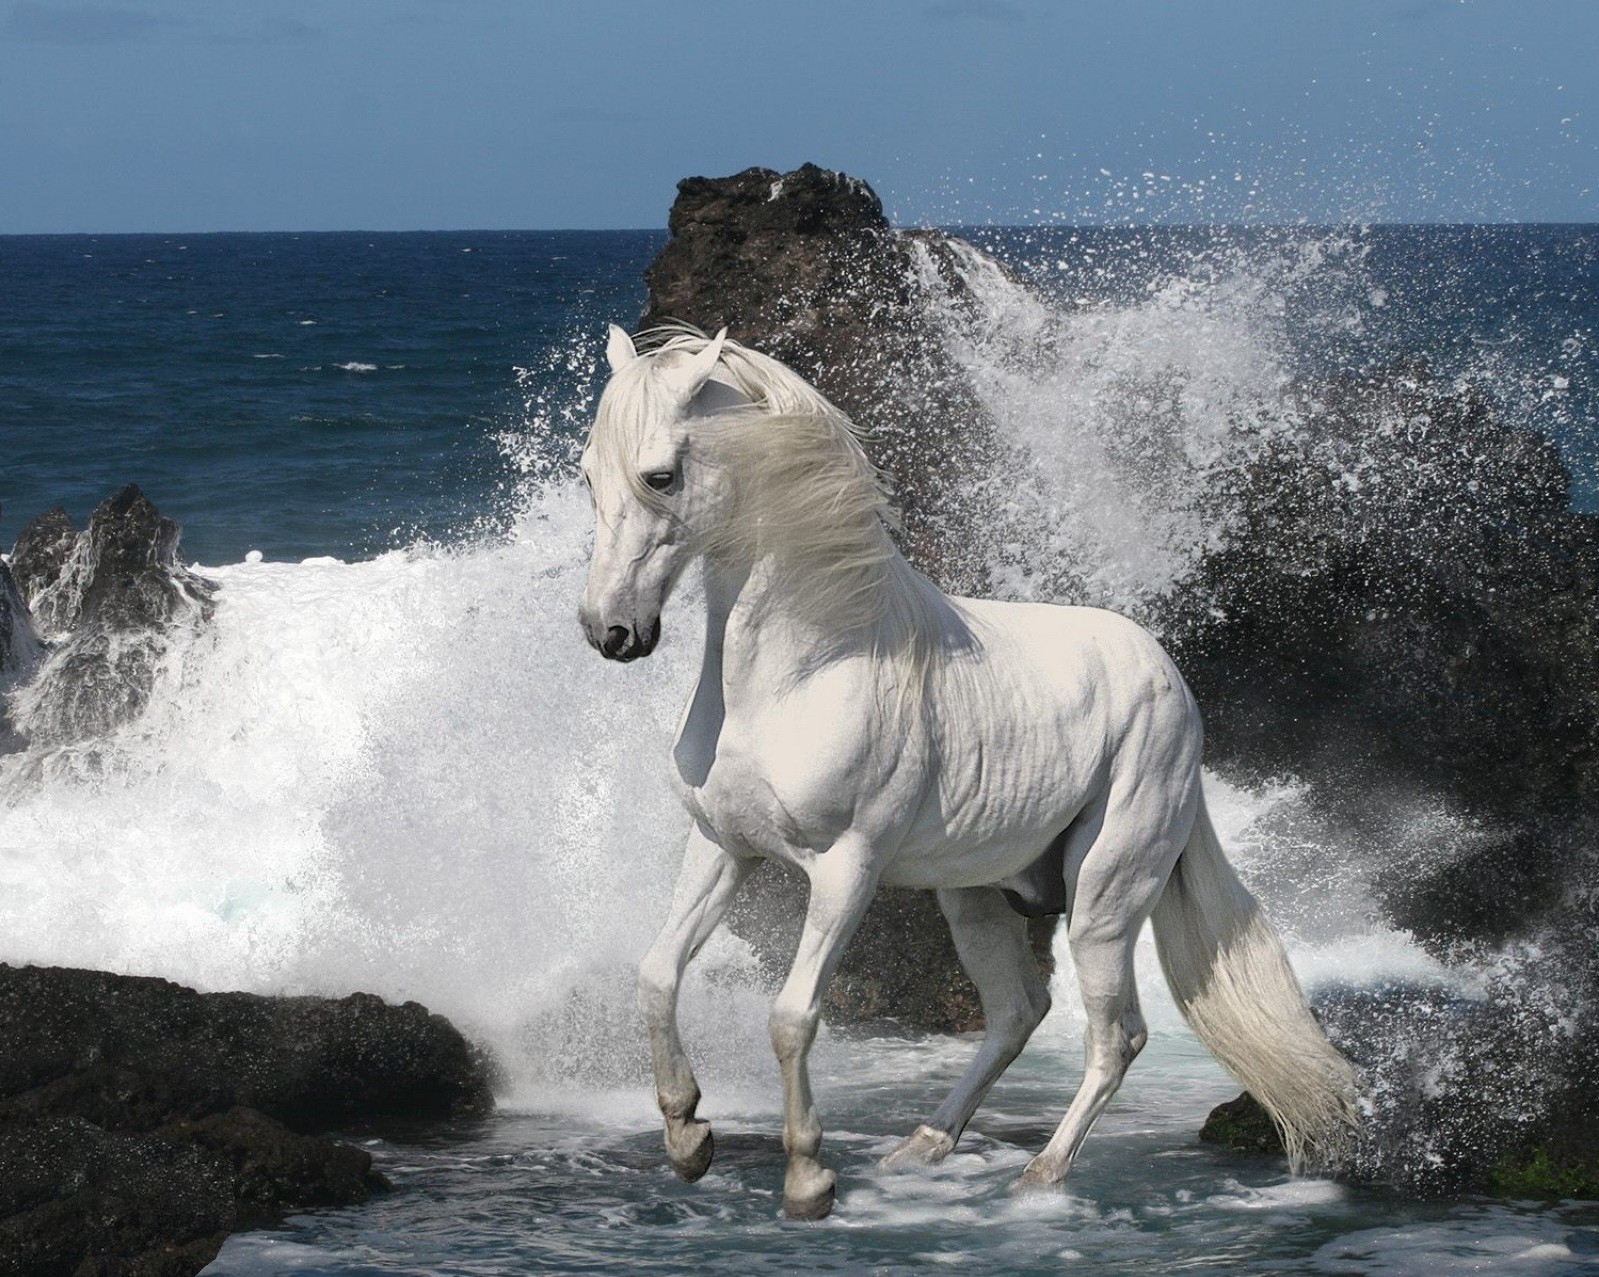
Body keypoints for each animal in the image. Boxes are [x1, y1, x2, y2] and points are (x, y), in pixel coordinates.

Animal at [582, 319, 1355, 1221]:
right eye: (588, 474)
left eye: (659, 475)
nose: (610, 632)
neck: (801, 668)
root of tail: (1170, 680)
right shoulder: (721, 846)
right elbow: (656, 974)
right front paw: (687, 1137)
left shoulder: (846, 869)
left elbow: (791, 1015)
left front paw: (808, 1179)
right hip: (975, 894)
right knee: (1019, 1010)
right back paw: (922, 1145)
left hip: (1104, 897)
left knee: (1114, 1033)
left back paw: (1039, 1176)